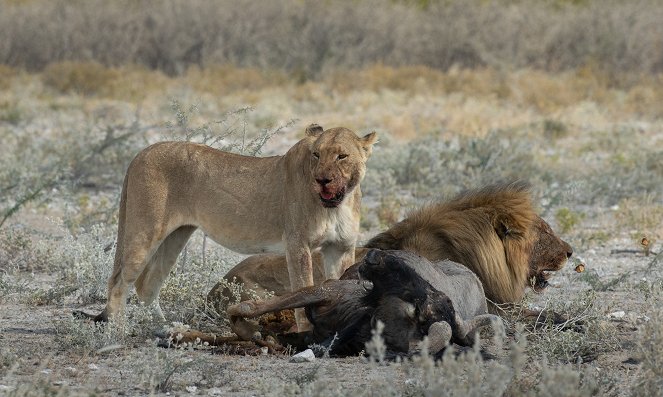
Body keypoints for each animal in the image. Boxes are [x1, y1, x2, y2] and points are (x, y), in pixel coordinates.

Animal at [81, 124, 378, 328]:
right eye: (316, 154)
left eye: (341, 156)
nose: (322, 180)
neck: (337, 206)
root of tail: (140, 153)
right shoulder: (299, 245)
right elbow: (304, 291)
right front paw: (306, 332)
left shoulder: (340, 248)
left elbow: (335, 285)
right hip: (145, 230)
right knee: (119, 281)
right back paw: (119, 330)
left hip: (175, 236)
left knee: (148, 283)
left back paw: (162, 326)